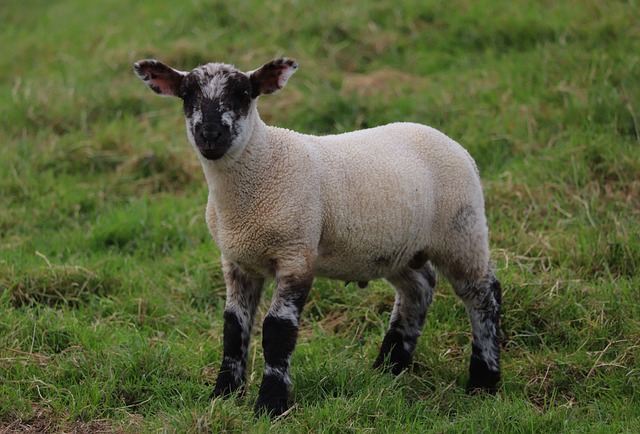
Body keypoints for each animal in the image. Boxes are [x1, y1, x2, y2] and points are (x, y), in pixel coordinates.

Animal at [135, 56, 502, 418]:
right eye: (187, 95)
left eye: (244, 94)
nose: (210, 134)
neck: (263, 164)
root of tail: (453, 143)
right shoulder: (237, 260)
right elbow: (233, 327)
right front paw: (223, 395)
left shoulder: (296, 253)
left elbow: (278, 331)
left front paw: (270, 404)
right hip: (397, 248)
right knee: (419, 288)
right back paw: (389, 368)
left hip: (462, 231)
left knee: (484, 295)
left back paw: (484, 380)